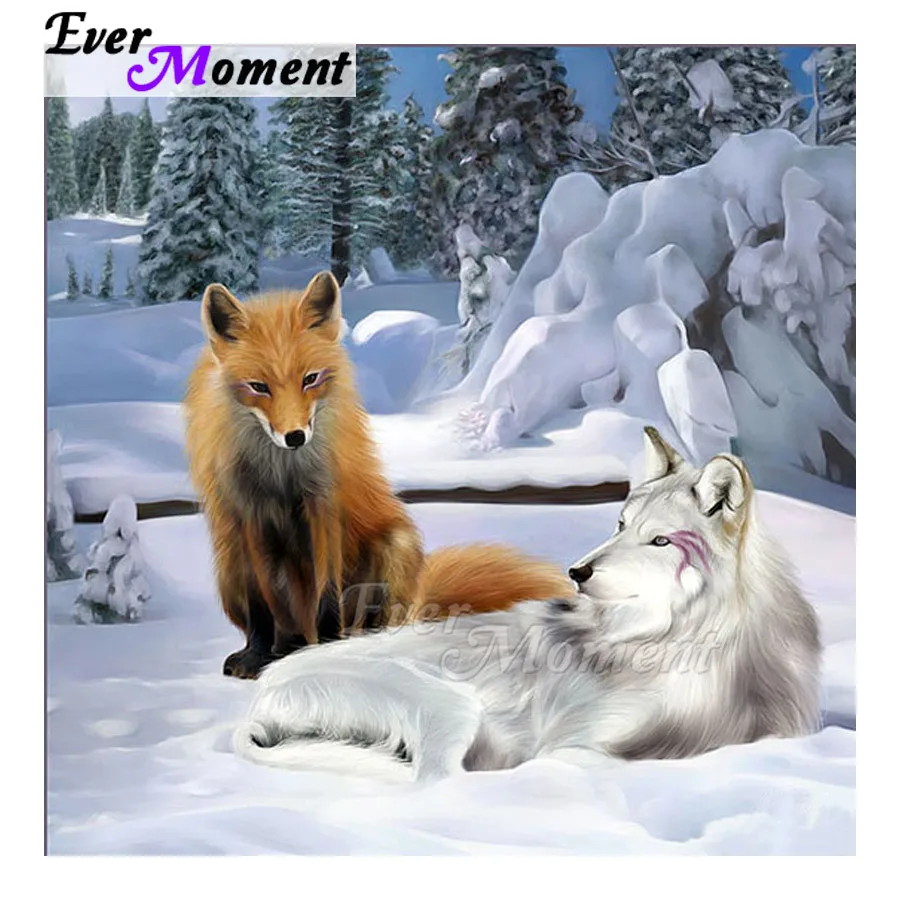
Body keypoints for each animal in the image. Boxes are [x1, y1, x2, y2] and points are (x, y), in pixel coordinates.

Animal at [184, 271, 573, 679]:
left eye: (310, 379)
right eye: (259, 387)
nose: (295, 437)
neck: (281, 474)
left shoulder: (323, 504)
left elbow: (327, 592)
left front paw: (323, 651)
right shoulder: (249, 515)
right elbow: (265, 600)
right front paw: (268, 654)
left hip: (396, 547)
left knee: (377, 623)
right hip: (228, 570)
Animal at [234, 428, 822, 782]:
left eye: (659, 541)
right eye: (620, 525)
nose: (577, 573)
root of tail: (266, 687)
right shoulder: (575, 745)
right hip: (453, 710)